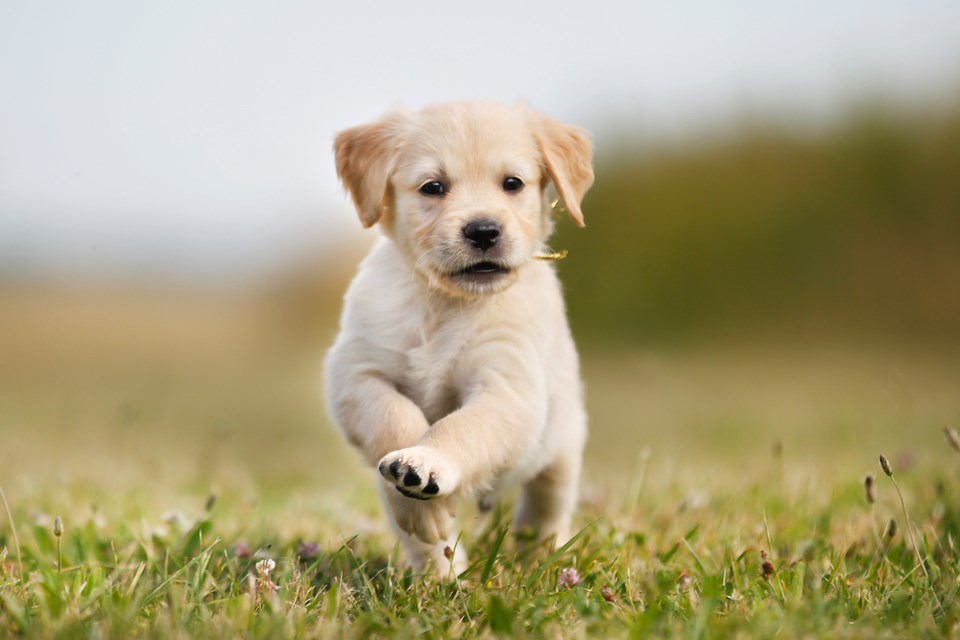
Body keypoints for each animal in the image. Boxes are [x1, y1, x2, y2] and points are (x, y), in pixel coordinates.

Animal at [326, 101, 588, 576]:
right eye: (433, 187)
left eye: (512, 183)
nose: (483, 231)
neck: (446, 304)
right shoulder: (355, 374)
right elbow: (396, 418)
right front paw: (419, 498)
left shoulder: (508, 388)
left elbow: (460, 428)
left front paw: (427, 462)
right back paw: (442, 577)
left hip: (563, 447)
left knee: (546, 509)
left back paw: (542, 560)